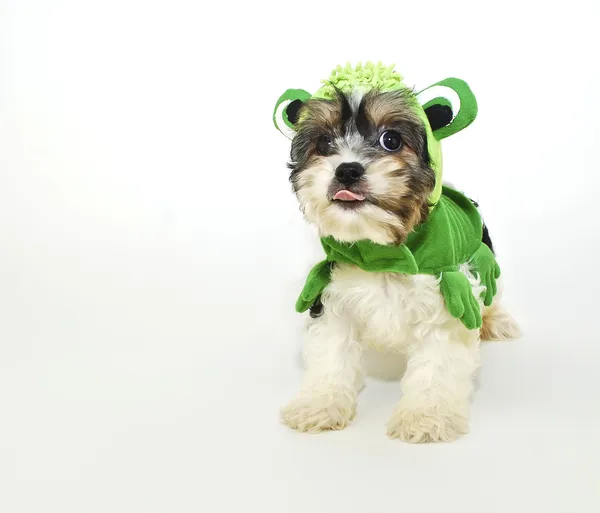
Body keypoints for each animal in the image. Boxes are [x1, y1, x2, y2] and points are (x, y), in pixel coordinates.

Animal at [282, 86, 520, 442]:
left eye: (391, 140)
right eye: (323, 143)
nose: (347, 169)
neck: (382, 252)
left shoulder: (447, 298)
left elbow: (436, 364)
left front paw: (425, 417)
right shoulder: (333, 294)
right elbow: (331, 354)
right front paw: (319, 405)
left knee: (491, 297)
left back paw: (497, 321)